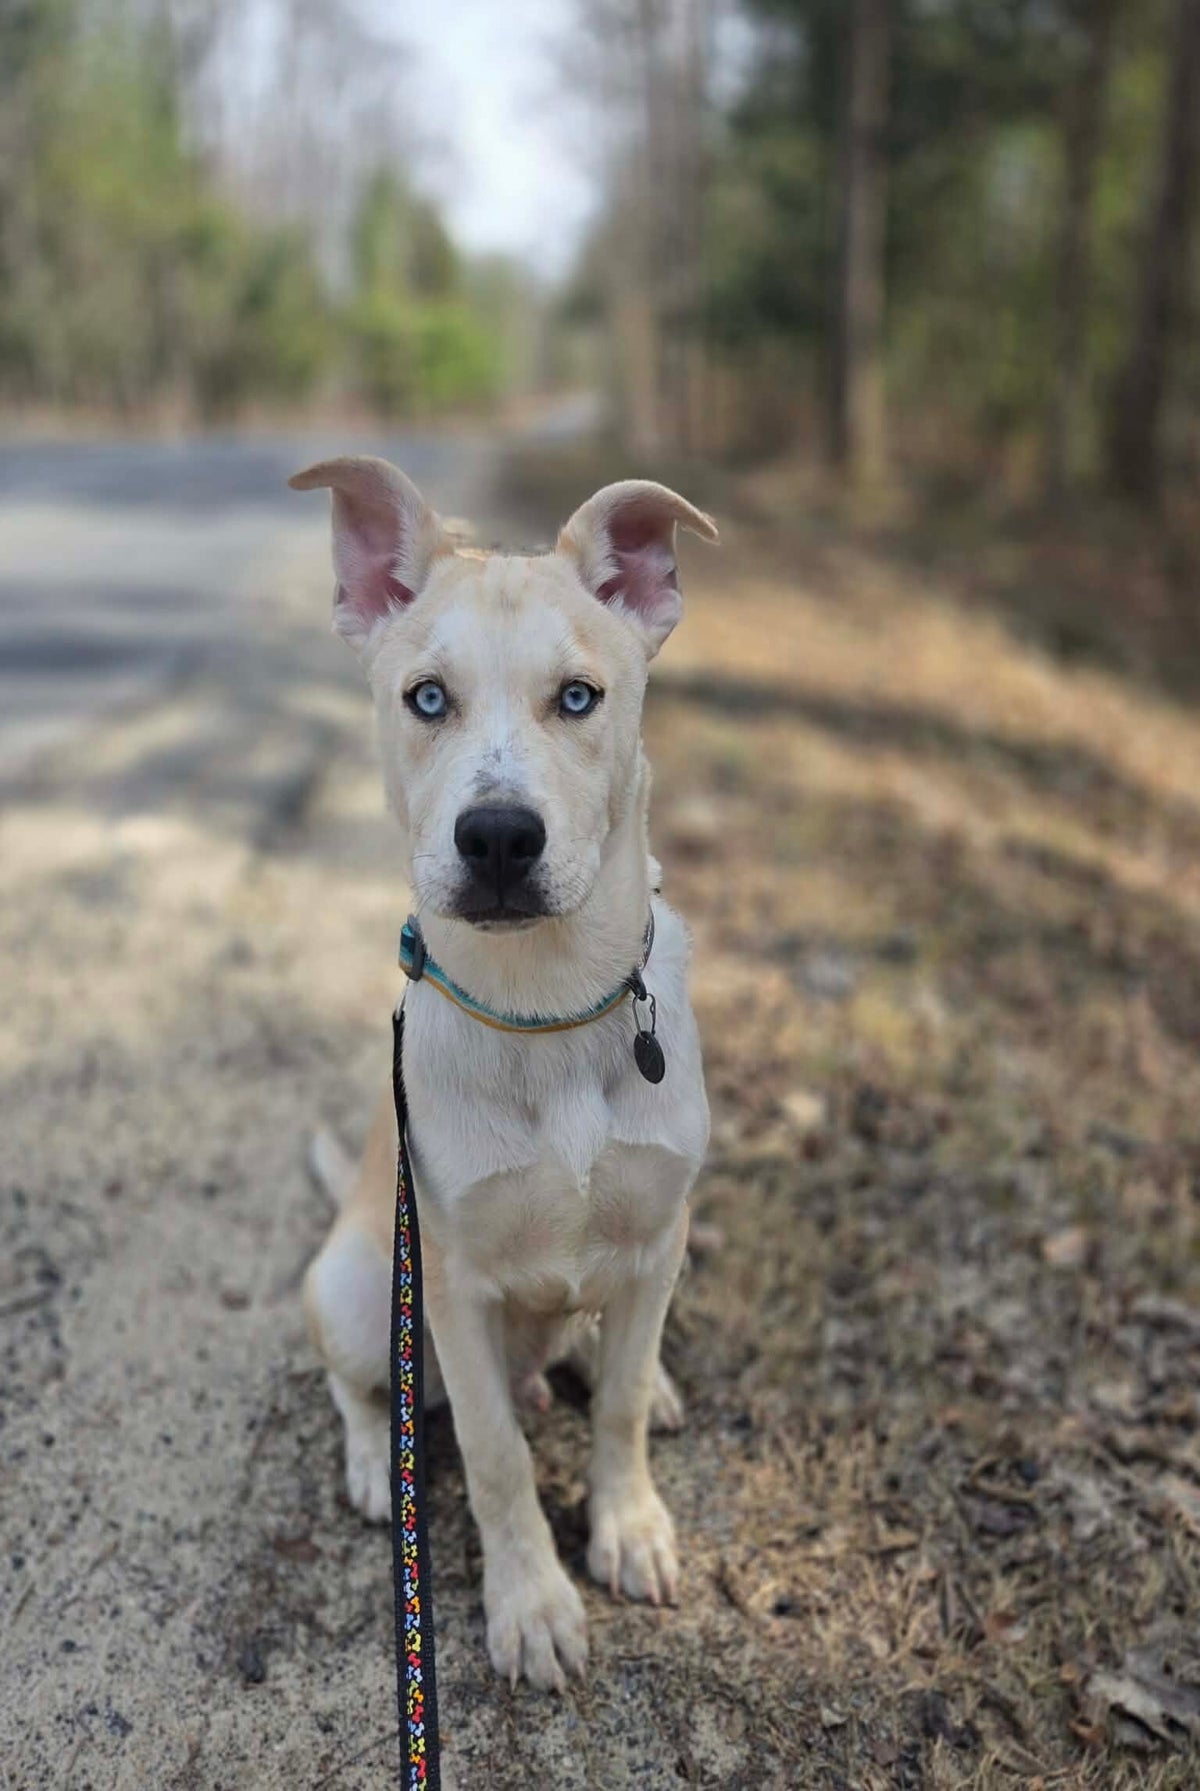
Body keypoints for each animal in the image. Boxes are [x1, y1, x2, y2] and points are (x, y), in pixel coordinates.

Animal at [292, 455, 717, 1689]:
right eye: (427, 698)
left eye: (578, 698)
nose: (495, 839)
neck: (551, 1007)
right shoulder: (452, 1288)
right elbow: (493, 1456)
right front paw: (530, 1605)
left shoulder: (658, 1234)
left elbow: (617, 1409)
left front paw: (630, 1526)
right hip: (355, 1284)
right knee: (359, 1385)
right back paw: (369, 1463)